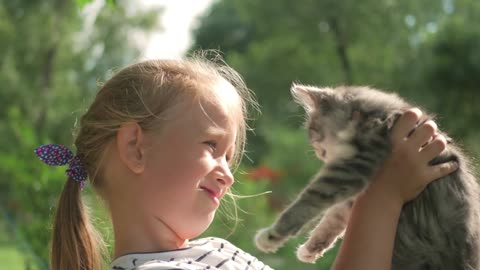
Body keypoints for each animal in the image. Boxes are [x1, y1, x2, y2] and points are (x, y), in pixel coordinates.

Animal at [255, 85, 480, 270]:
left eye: (313, 131)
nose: (319, 152)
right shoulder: (353, 189)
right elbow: (331, 221)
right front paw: (310, 249)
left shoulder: (351, 168)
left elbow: (308, 202)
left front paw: (271, 236)